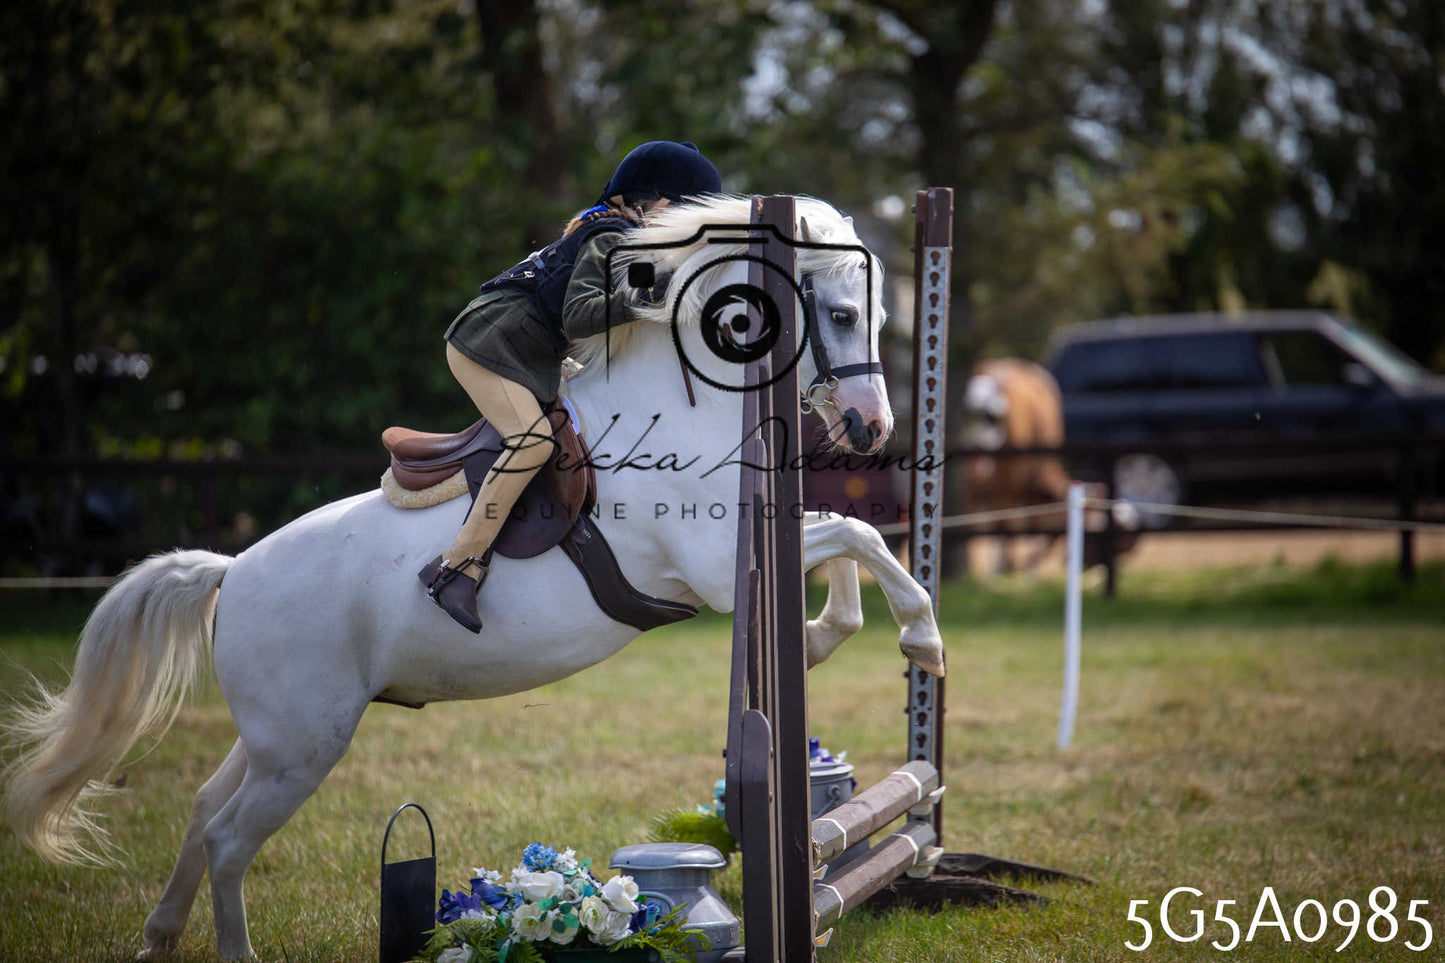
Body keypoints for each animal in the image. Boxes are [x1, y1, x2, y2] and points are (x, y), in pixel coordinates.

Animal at [2, 195, 946, 960]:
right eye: (840, 311)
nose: (870, 427)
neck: (683, 403)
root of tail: (232, 571)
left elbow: (848, 541)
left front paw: (827, 638)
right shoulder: (715, 569)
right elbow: (858, 531)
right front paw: (922, 639)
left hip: (276, 733)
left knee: (202, 809)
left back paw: (160, 934)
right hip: (303, 744)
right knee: (230, 838)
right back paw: (234, 952)